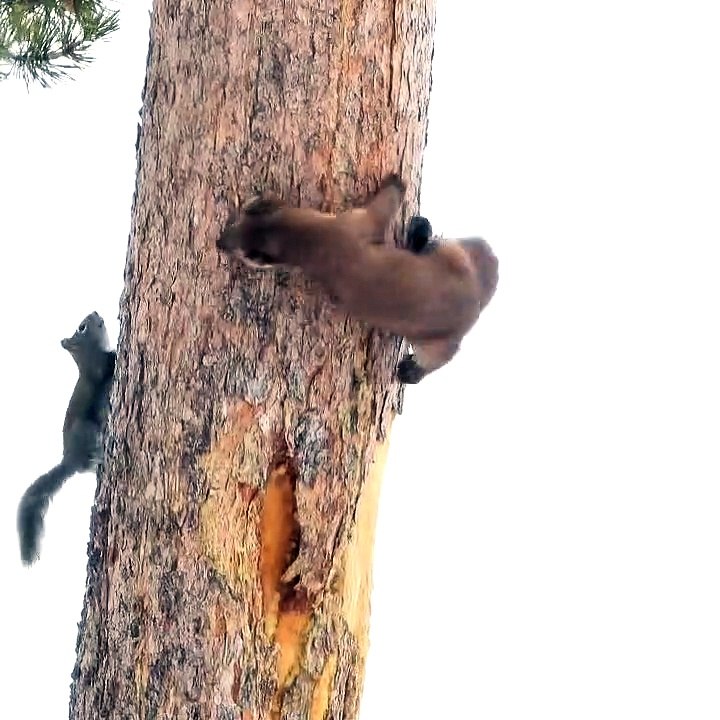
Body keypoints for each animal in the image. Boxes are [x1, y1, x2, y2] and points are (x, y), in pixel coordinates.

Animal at [17, 311, 116, 565]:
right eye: (82, 327)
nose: (96, 313)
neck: (87, 358)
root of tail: (69, 460)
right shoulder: (100, 369)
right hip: (87, 431)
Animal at [216, 174, 499, 383]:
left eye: (245, 252)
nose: (220, 242)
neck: (318, 243)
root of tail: (474, 305)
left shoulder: (355, 222)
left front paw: (395, 180)